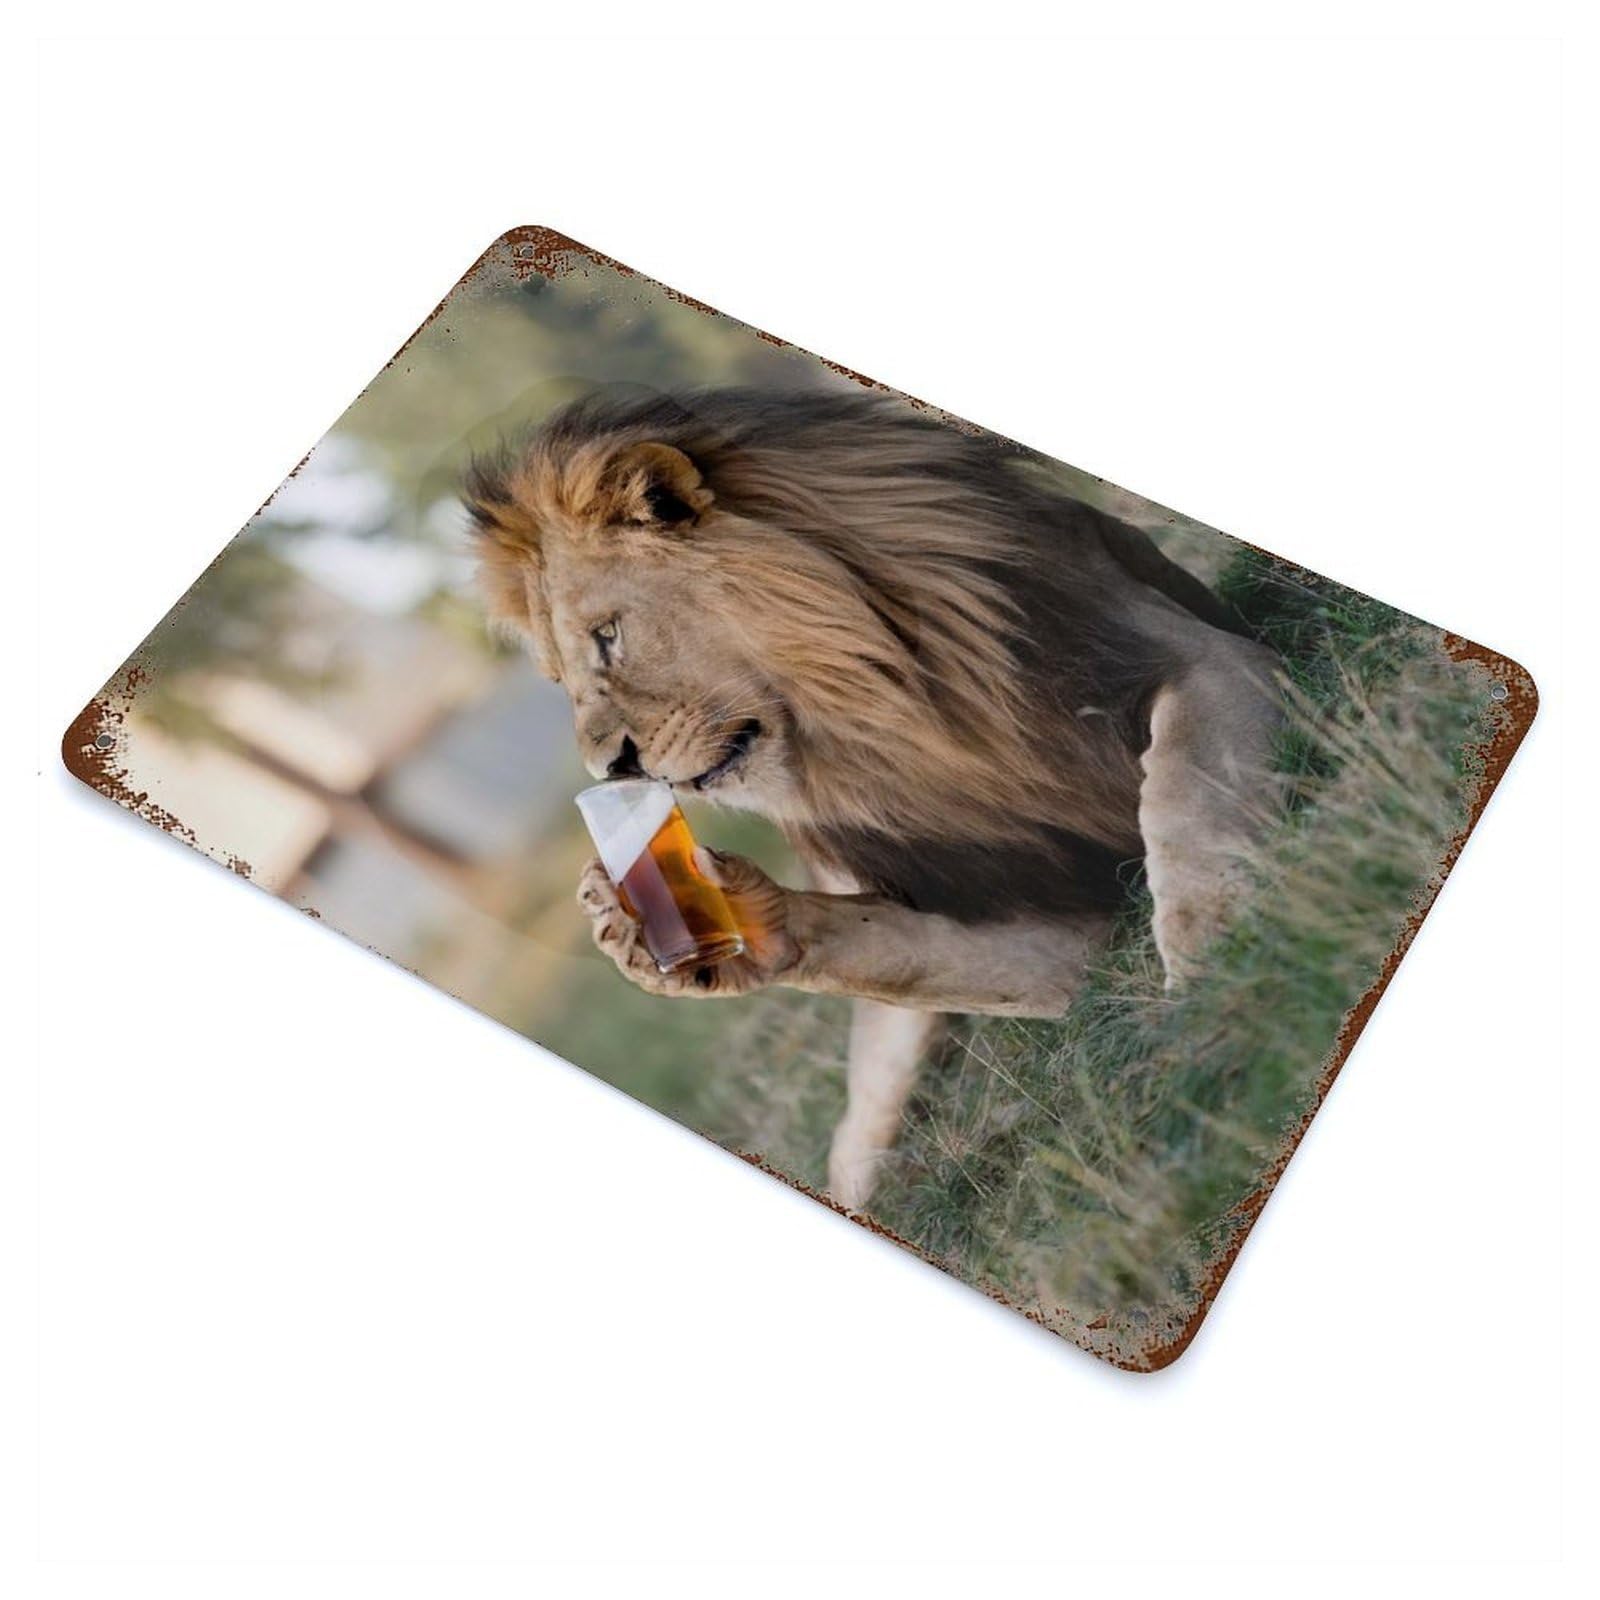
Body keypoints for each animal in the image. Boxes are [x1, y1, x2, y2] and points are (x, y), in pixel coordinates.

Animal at [465, 388, 1282, 1207]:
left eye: (607, 637)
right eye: (560, 680)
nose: (609, 768)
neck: (884, 722)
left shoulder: (1196, 661)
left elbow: (1183, 788)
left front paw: (1211, 953)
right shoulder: (1061, 928)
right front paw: (694, 926)